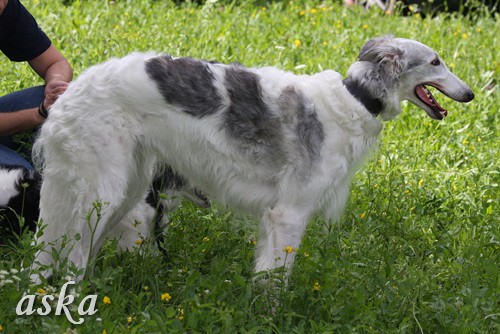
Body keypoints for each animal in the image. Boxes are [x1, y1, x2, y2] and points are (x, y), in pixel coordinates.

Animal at [32, 36, 472, 282]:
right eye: (435, 62)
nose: (470, 94)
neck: (354, 99)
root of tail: (69, 94)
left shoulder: (274, 220)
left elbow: (266, 276)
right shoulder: (289, 214)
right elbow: (274, 285)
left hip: (128, 190)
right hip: (101, 194)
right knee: (72, 259)